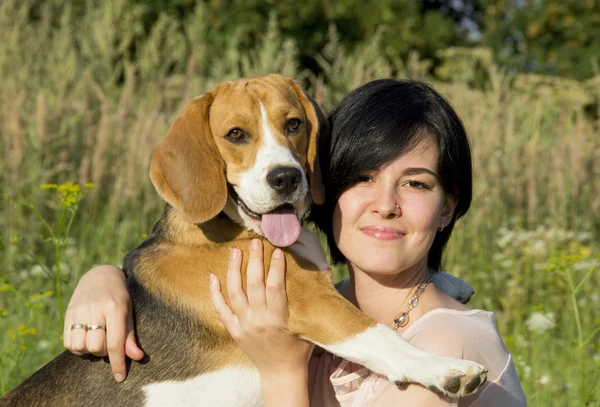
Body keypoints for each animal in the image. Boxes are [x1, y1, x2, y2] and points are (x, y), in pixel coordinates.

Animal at [1, 75, 488, 406]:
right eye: (236, 134)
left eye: (293, 124)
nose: (286, 177)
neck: (232, 227)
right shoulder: (309, 300)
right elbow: (376, 334)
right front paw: (444, 368)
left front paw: (451, 281)